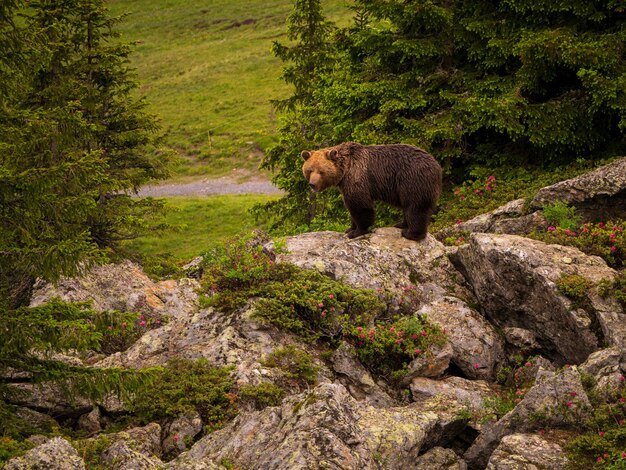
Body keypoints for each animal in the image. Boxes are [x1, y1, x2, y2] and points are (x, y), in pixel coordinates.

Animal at [302, 141, 438, 241]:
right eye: (309, 170)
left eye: (321, 171)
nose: (312, 184)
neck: (345, 170)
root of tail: (435, 164)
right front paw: (350, 228)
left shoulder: (357, 176)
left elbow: (359, 204)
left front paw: (357, 231)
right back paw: (401, 224)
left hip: (412, 179)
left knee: (415, 206)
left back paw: (411, 233)